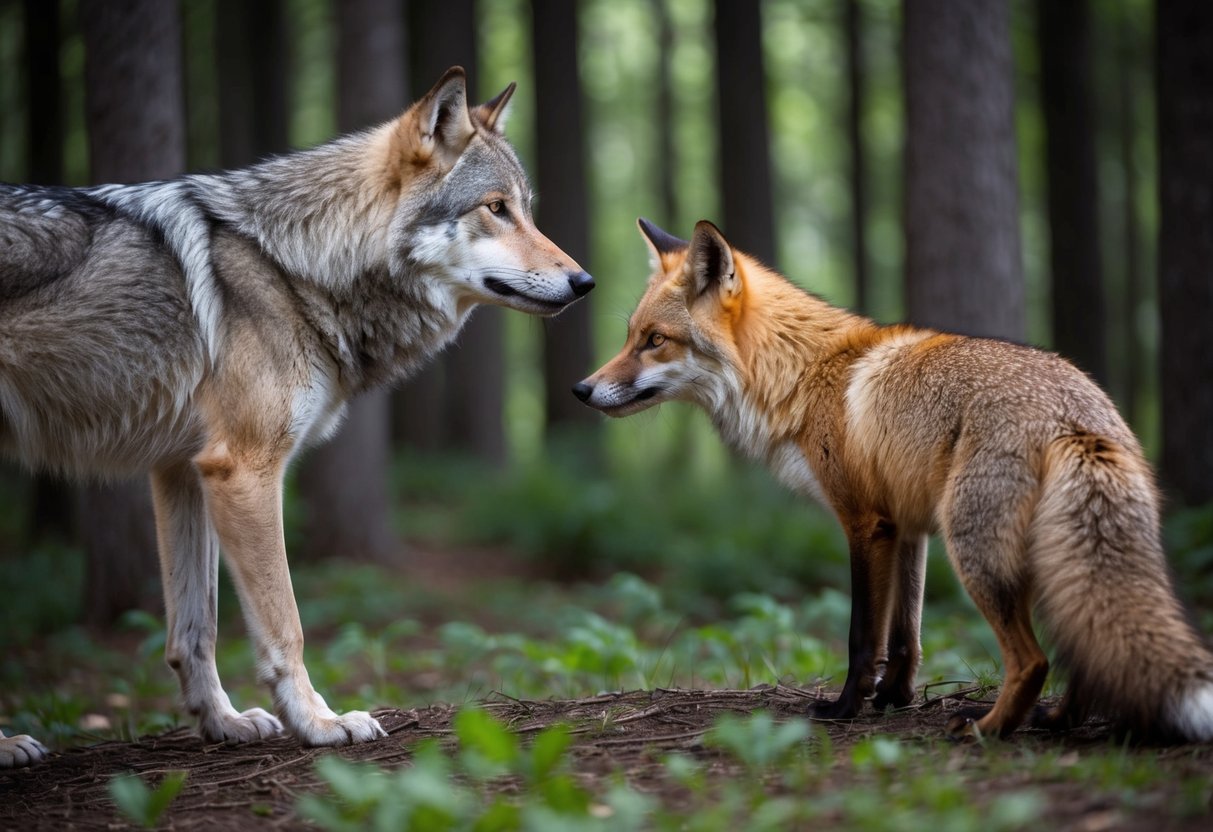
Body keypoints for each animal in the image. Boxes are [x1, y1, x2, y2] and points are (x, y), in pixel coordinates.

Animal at [0, 67, 593, 768]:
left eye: (526, 207)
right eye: (496, 208)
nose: (585, 282)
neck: (292, 266)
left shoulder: (182, 470)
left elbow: (194, 630)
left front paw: (223, 722)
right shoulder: (244, 471)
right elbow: (287, 624)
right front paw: (320, 722)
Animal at [573, 217, 1213, 742]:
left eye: (654, 341)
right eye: (630, 336)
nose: (582, 390)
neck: (800, 377)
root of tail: (1074, 413)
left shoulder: (866, 524)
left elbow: (863, 636)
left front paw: (845, 708)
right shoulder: (909, 526)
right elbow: (906, 635)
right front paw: (895, 699)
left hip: (976, 551)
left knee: (1033, 661)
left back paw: (987, 729)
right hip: (1040, 555)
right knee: (1083, 649)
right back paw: (1057, 720)